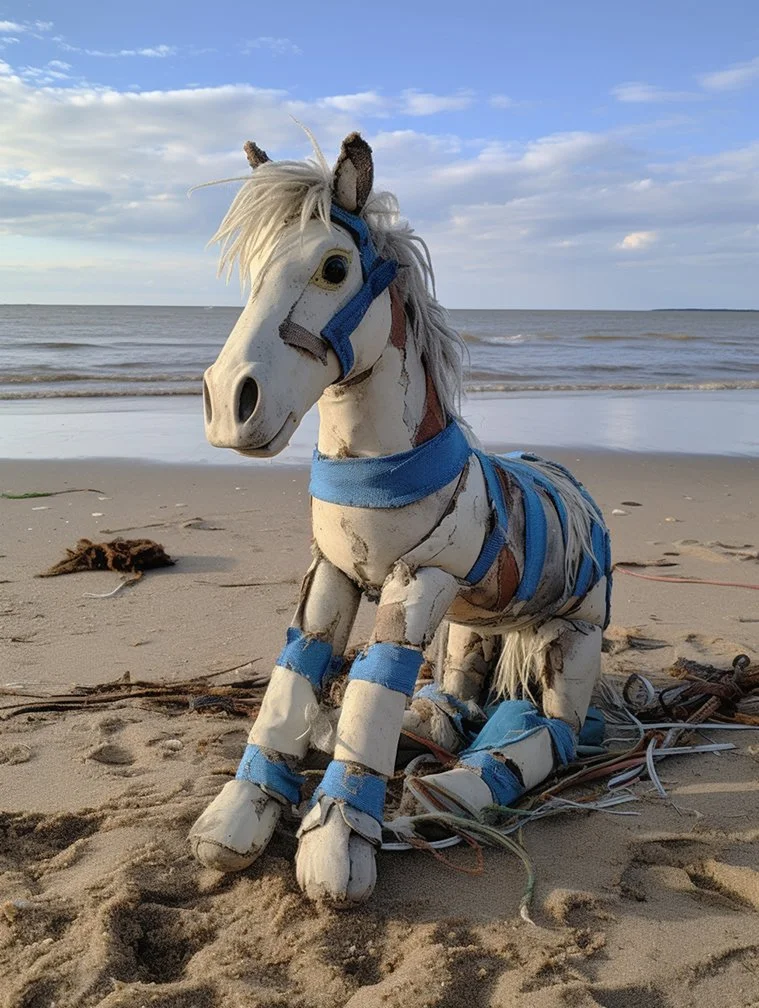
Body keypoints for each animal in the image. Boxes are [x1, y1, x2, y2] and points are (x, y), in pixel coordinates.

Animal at [190, 132, 611, 903]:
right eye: (253, 272)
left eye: (334, 267)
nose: (230, 402)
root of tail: (577, 492)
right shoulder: (331, 572)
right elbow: (297, 669)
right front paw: (240, 811)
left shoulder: (421, 578)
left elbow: (372, 683)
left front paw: (336, 840)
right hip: (475, 627)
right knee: (455, 701)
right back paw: (429, 740)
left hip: (574, 633)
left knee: (558, 732)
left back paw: (458, 790)